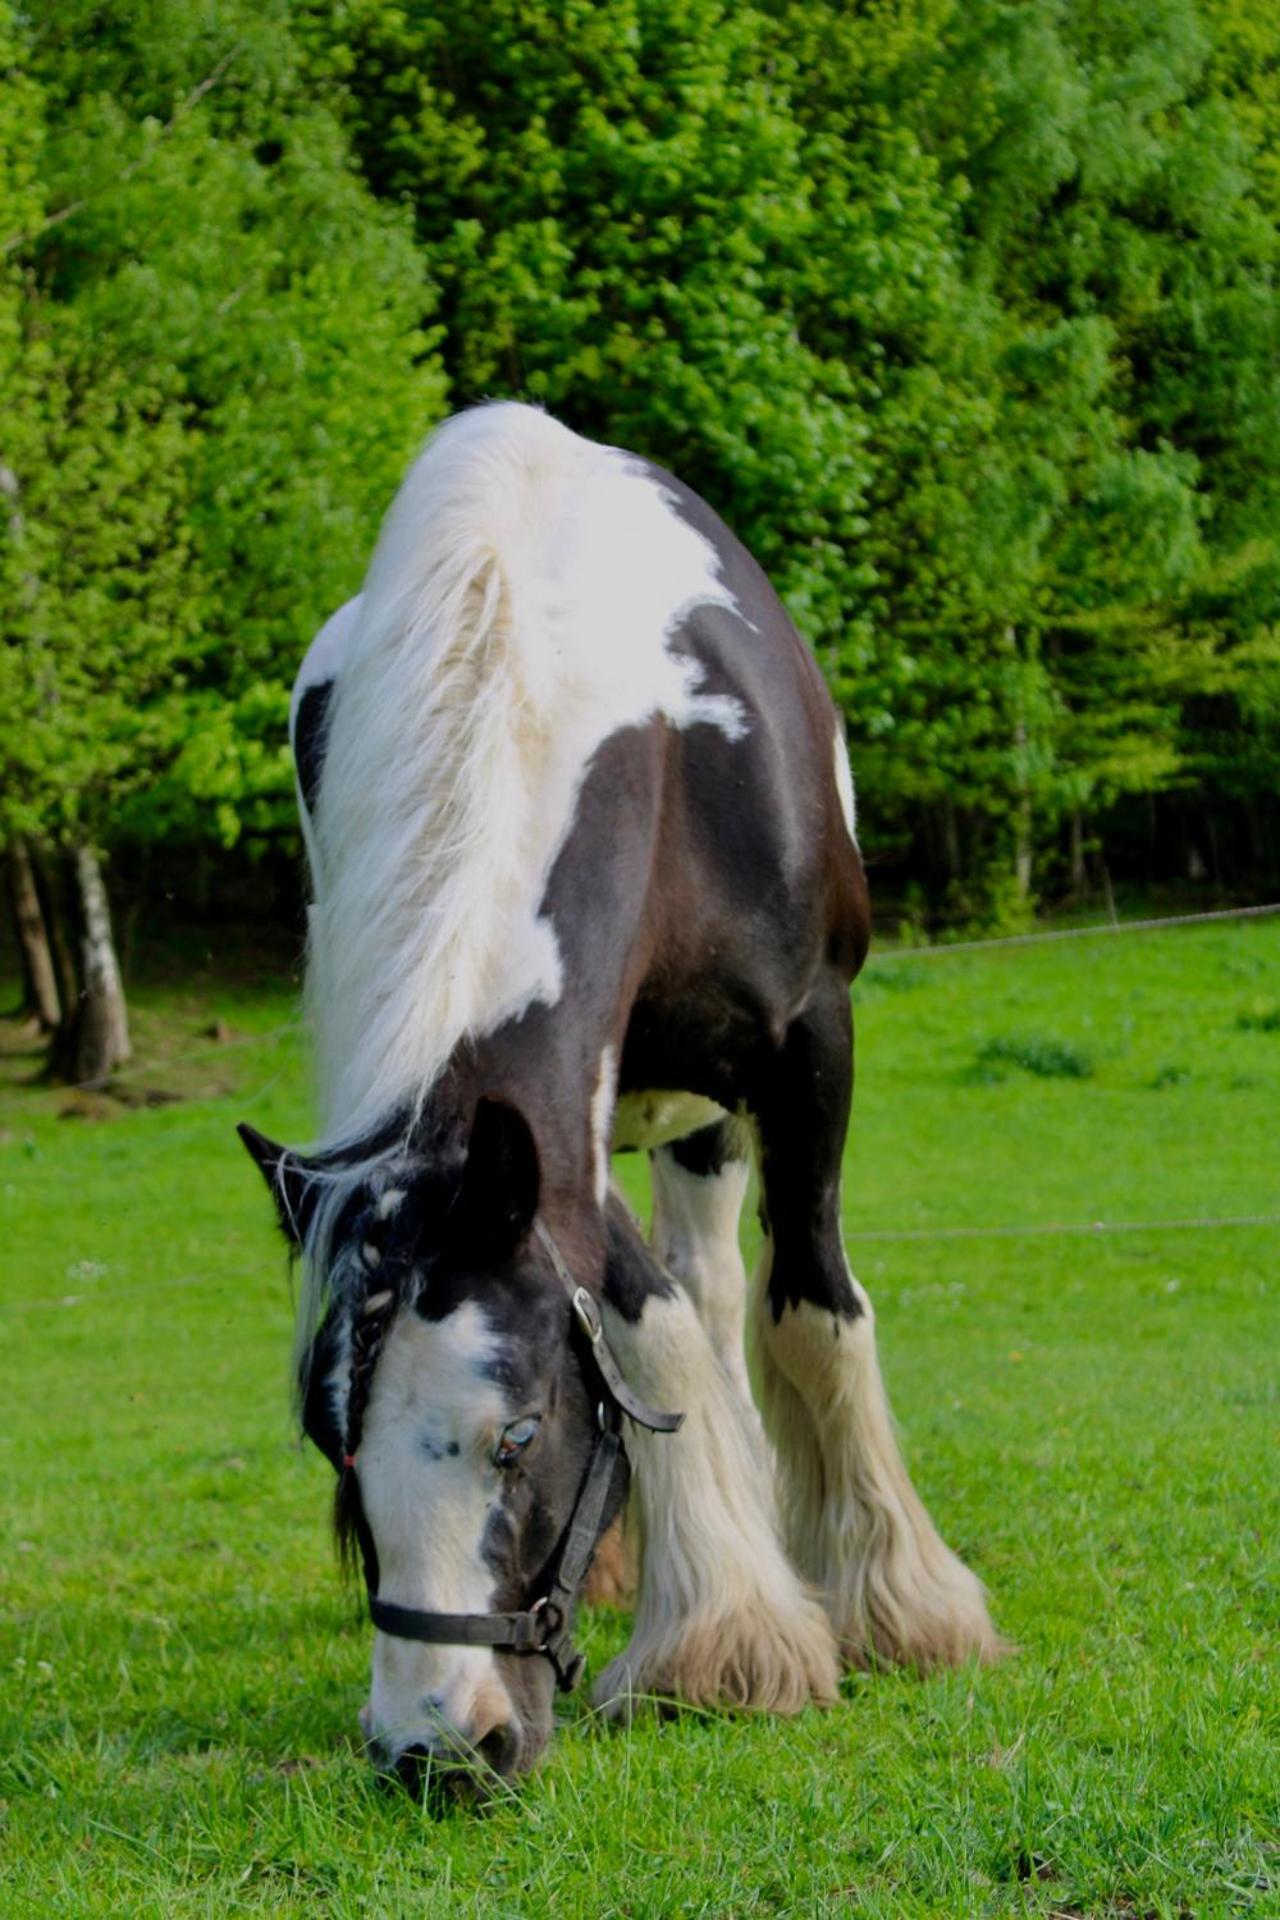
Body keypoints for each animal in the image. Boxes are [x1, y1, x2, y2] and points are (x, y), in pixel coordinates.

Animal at [239, 401, 997, 1781]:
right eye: (335, 1442)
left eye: (519, 1433)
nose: (437, 1747)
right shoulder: (555, 1125)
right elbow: (642, 1321)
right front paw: (723, 1630)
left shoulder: (811, 1041)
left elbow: (809, 1307)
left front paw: (892, 1607)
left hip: (707, 1112)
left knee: (728, 1282)